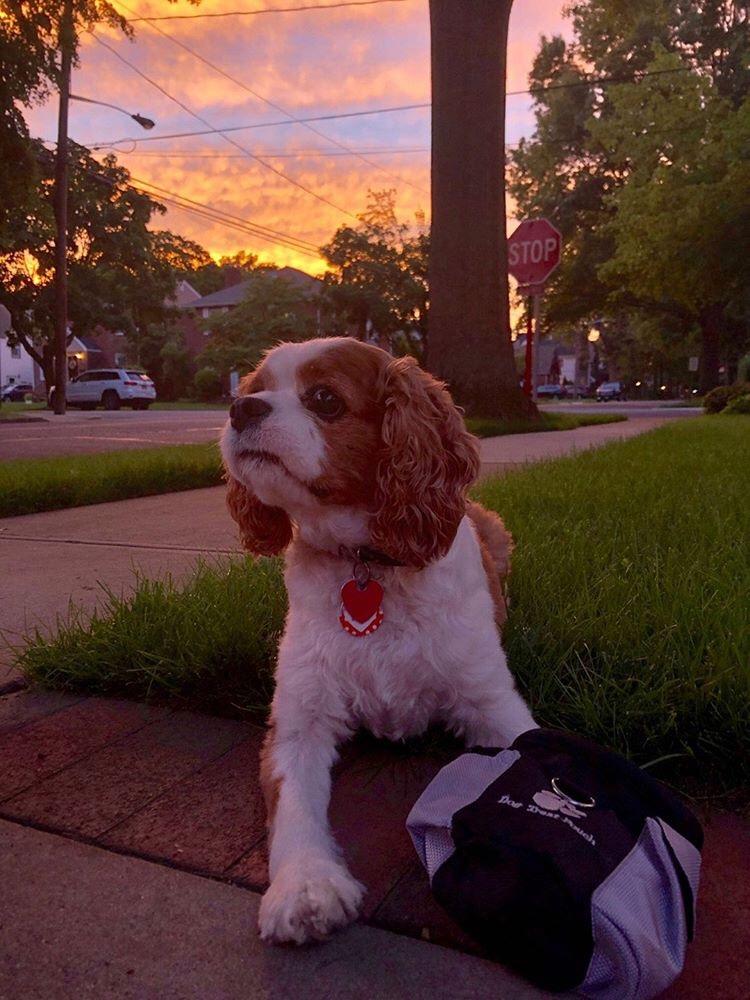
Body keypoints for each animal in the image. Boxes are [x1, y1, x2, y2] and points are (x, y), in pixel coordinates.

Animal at [220, 336, 536, 944]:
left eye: (325, 398)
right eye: (255, 389)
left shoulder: (491, 701)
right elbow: (294, 805)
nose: (240, 409)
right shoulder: (299, 722)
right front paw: (305, 886)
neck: (366, 563)